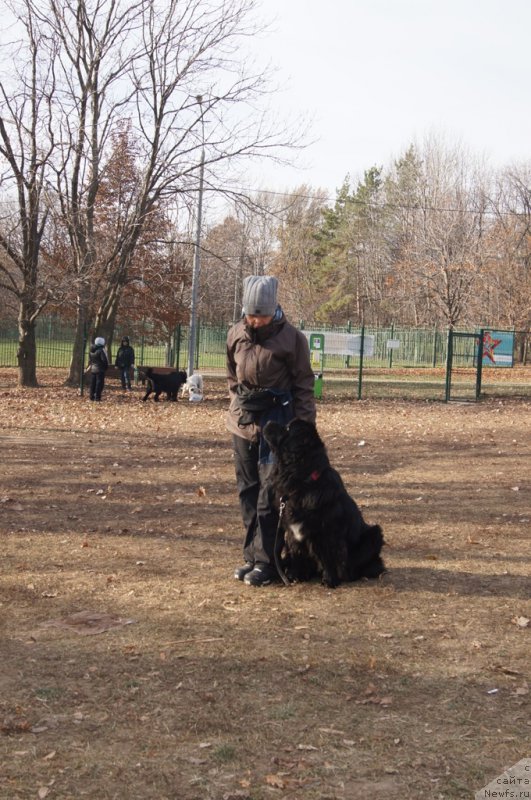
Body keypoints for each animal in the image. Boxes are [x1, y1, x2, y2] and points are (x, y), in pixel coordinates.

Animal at [262, 418, 384, 588]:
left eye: (286, 428)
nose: (268, 421)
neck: (304, 483)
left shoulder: (327, 532)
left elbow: (328, 557)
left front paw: (329, 580)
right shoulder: (293, 532)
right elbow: (296, 553)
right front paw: (295, 575)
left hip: (374, 535)